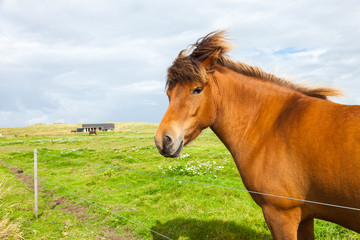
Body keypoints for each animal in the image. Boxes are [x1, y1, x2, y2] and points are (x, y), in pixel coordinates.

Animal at [155, 31, 360, 239]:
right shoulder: (305, 218)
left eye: (197, 89)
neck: (274, 125)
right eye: (169, 93)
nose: (163, 140)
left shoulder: (281, 215)